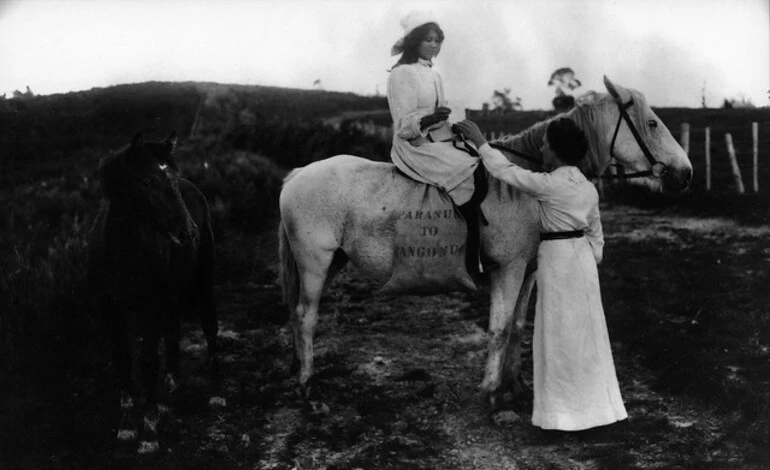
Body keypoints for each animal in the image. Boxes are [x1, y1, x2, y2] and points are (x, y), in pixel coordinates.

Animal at [88, 131, 219, 452]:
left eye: (173, 175)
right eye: (147, 181)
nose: (188, 232)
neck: (122, 254)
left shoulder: (150, 307)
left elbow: (147, 362)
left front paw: (148, 433)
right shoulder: (110, 310)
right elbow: (122, 359)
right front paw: (126, 425)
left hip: (202, 282)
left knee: (210, 325)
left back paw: (216, 392)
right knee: (172, 330)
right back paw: (172, 385)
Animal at [278, 75, 688, 402]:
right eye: (652, 122)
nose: (685, 173)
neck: (524, 183)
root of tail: (297, 174)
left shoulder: (529, 270)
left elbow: (518, 326)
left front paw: (516, 385)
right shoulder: (507, 269)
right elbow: (499, 328)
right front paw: (491, 392)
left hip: (333, 262)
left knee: (299, 316)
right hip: (315, 263)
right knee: (305, 316)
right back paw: (307, 385)